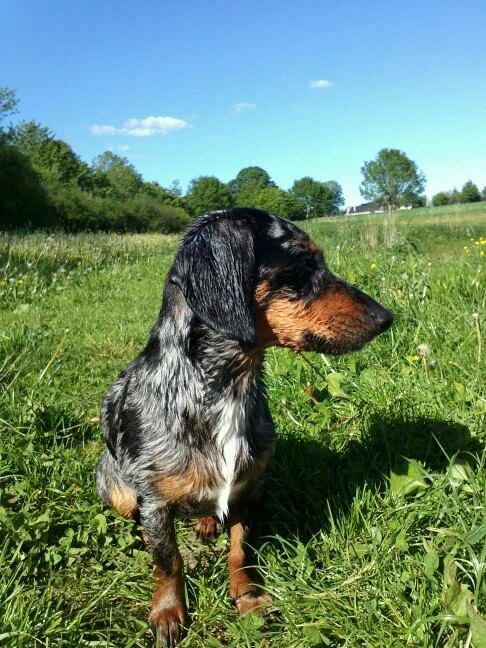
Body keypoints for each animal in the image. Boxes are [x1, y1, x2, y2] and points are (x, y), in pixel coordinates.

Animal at [97, 208, 392, 644]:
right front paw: (168, 612)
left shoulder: (251, 487)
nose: (387, 318)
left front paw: (247, 597)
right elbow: (168, 561)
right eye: (301, 267)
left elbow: (240, 550)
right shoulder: (155, 501)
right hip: (115, 489)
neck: (229, 388)